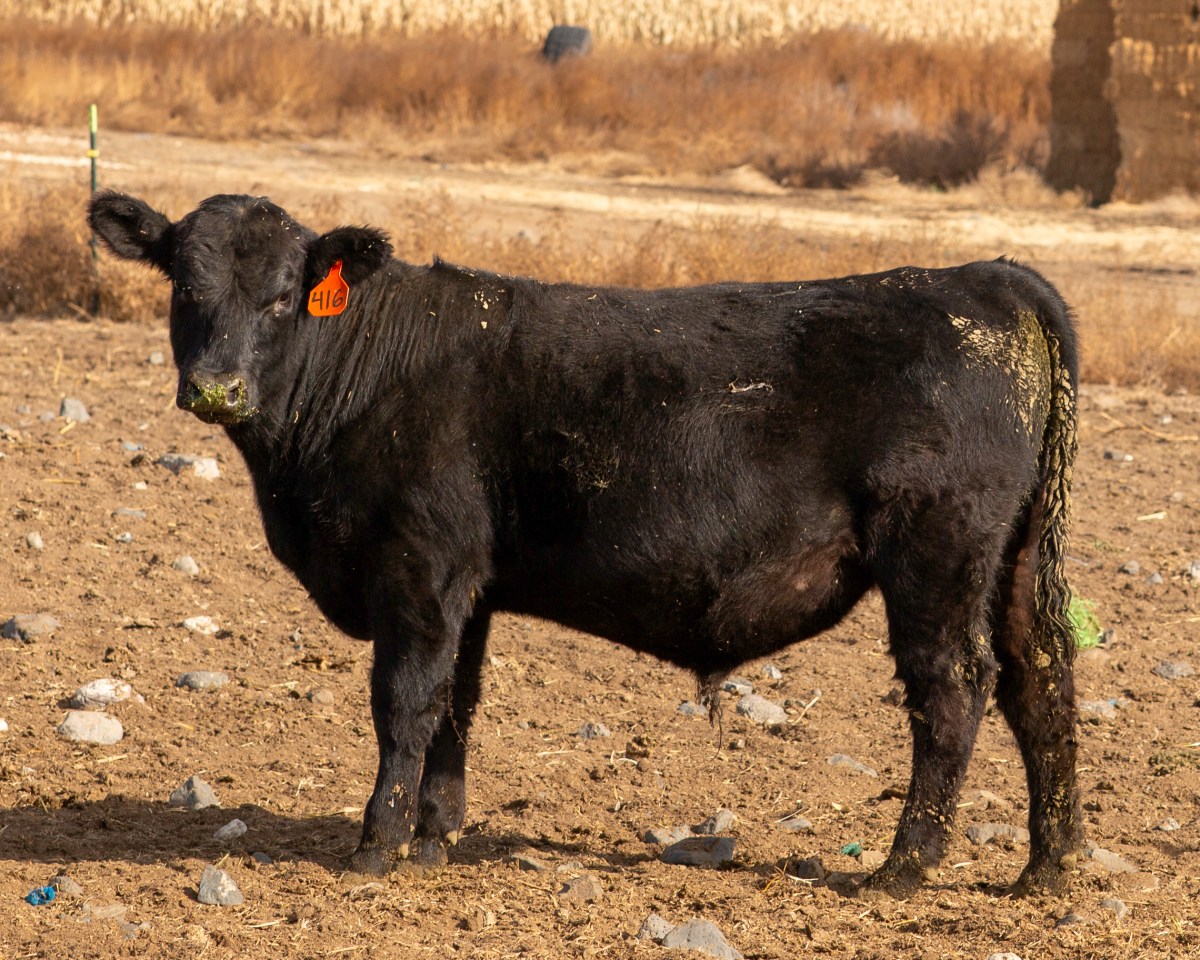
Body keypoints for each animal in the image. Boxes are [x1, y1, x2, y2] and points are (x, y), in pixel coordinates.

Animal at [87, 190, 1083, 898]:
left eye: (284, 298)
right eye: (184, 286)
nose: (216, 388)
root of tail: (986, 276)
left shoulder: (418, 567)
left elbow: (405, 701)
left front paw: (376, 843)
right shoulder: (470, 586)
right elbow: (457, 704)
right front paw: (433, 837)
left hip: (936, 551)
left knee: (955, 686)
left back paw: (903, 867)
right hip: (1015, 561)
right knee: (1042, 681)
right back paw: (1048, 867)